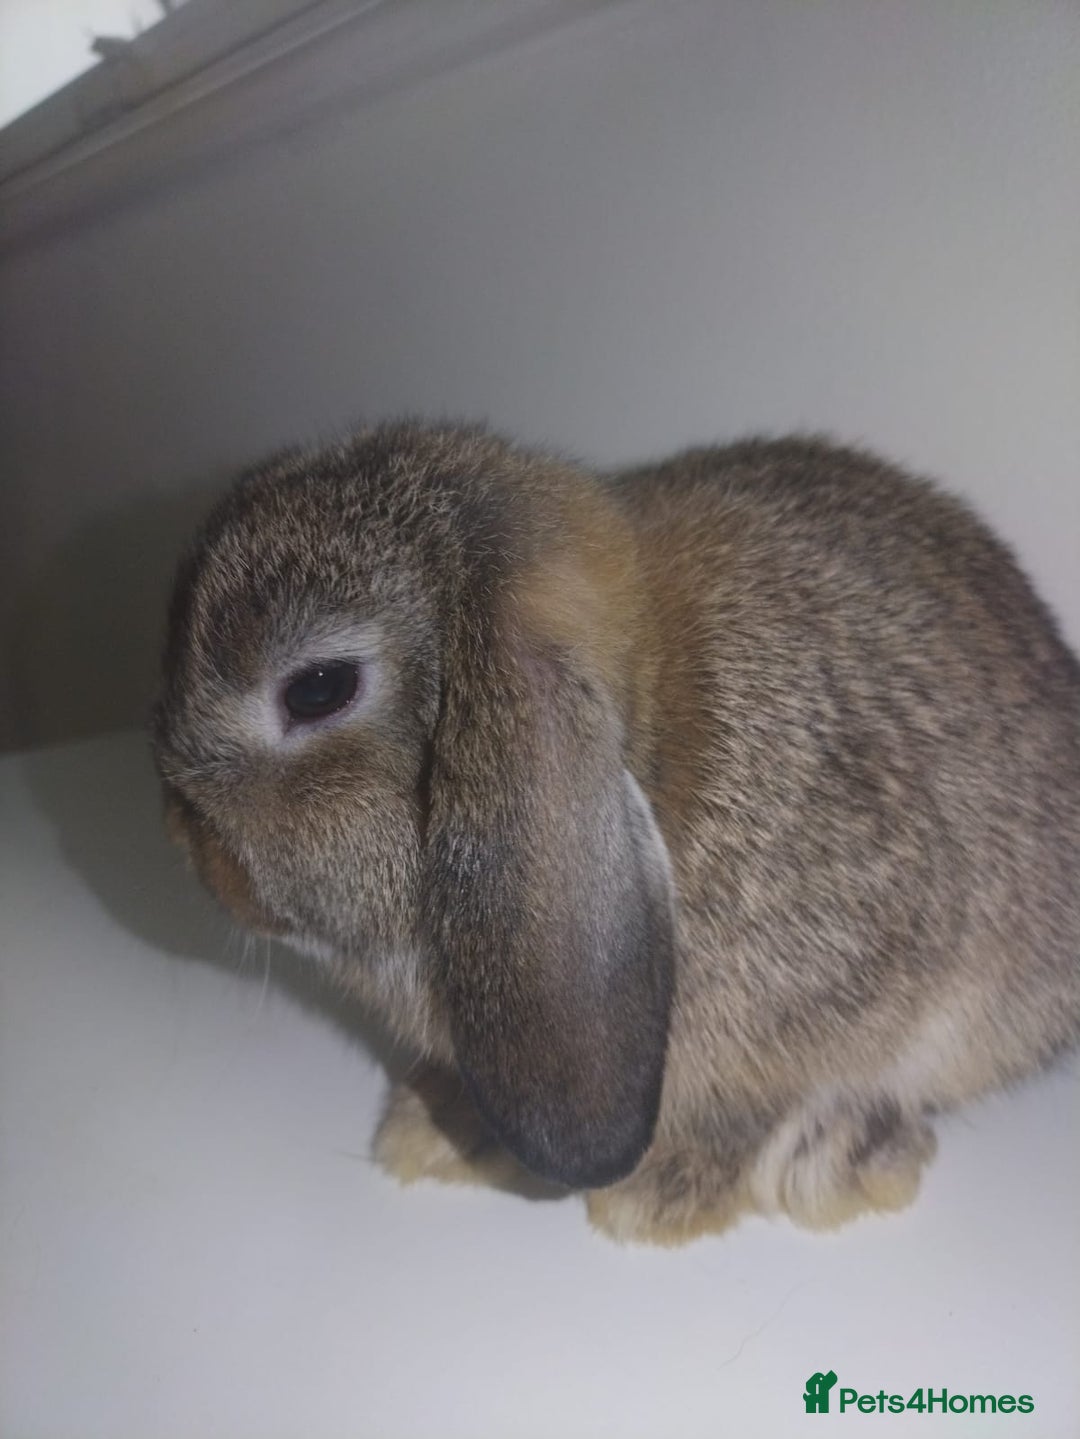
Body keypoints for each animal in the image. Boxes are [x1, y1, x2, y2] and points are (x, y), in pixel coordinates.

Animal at [152, 423, 1080, 1245]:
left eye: (317, 688)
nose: (202, 862)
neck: (646, 732)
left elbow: (763, 1098)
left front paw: (661, 1197)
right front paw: (440, 1128)